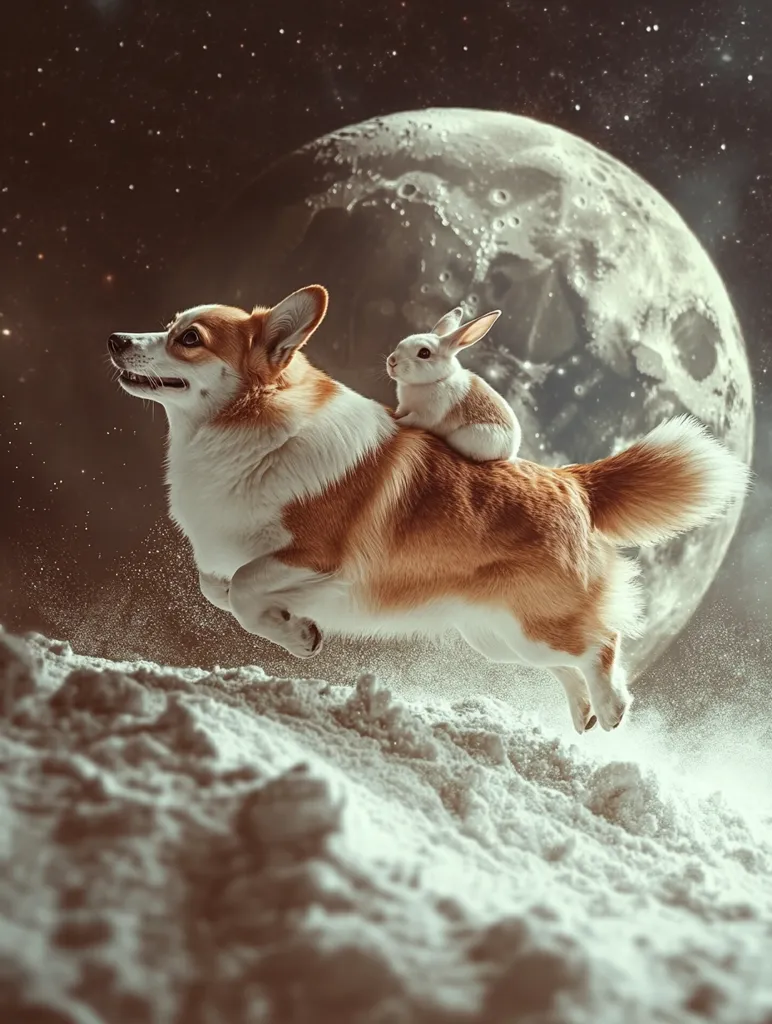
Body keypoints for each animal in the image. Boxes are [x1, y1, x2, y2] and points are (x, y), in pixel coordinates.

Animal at [386, 306, 522, 462]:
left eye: (424, 353)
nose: (391, 361)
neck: (437, 380)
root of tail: (512, 453)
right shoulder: (404, 406)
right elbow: (400, 412)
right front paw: (394, 415)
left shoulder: (425, 416)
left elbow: (409, 420)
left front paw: (396, 422)